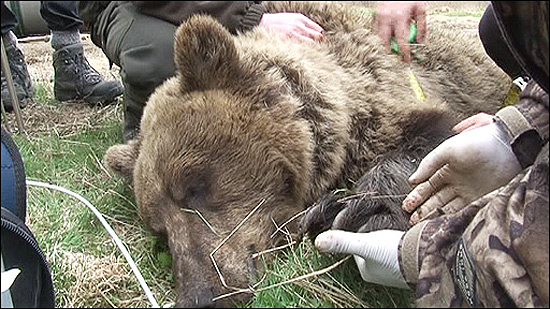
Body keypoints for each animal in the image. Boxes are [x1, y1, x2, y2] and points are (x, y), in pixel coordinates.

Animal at [102, 1, 512, 306]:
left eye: (194, 185)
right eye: (160, 230)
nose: (200, 297)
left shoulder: (390, 94)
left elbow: (432, 144)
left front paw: (363, 211)